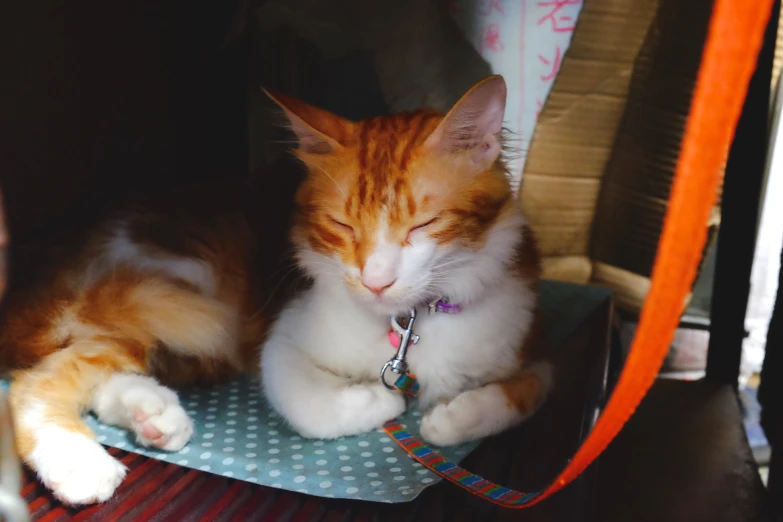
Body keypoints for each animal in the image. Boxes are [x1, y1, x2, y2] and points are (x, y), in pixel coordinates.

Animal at [0, 74, 552, 504]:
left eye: (423, 225)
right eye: (342, 226)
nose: (375, 281)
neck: (410, 325)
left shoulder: (533, 341)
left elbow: (526, 395)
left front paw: (451, 419)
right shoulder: (282, 340)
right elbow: (310, 407)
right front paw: (380, 404)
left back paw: (151, 414)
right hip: (181, 296)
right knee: (38, 380)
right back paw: (79, 463)